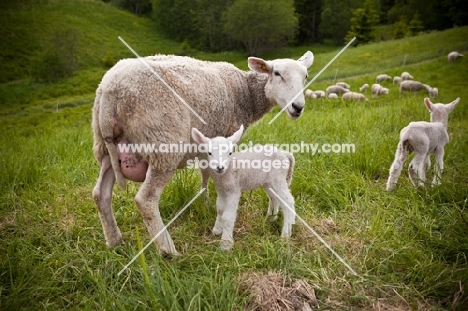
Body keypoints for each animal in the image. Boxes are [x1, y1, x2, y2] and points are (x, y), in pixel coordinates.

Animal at [91, 51, 314, 256]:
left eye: (305, 76)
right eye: (277, 73)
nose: (298, 107)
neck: (247, 92)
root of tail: (110, 91)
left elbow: (205, 173)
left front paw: (205, 200)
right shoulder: (228, 133)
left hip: (106, 148)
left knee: (100, 193)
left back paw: (114, 240)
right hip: (163, 144)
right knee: (145, 200)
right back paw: (168, 250)